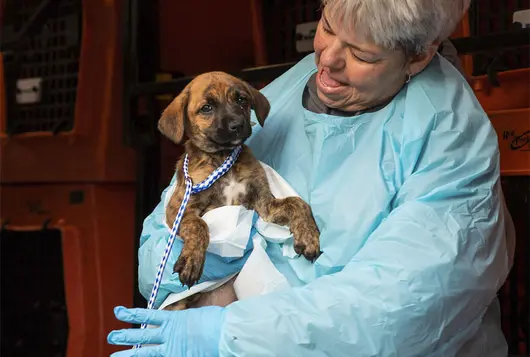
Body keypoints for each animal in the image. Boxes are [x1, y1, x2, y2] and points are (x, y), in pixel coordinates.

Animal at [157, 70, 320, 308]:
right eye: (207, 108)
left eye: (242, 100)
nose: (237, 125)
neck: (223, 158)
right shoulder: (179, 208)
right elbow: (199, 225)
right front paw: (192, 259)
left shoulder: (264, 204)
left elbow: (297, 202)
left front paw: (308, 236)